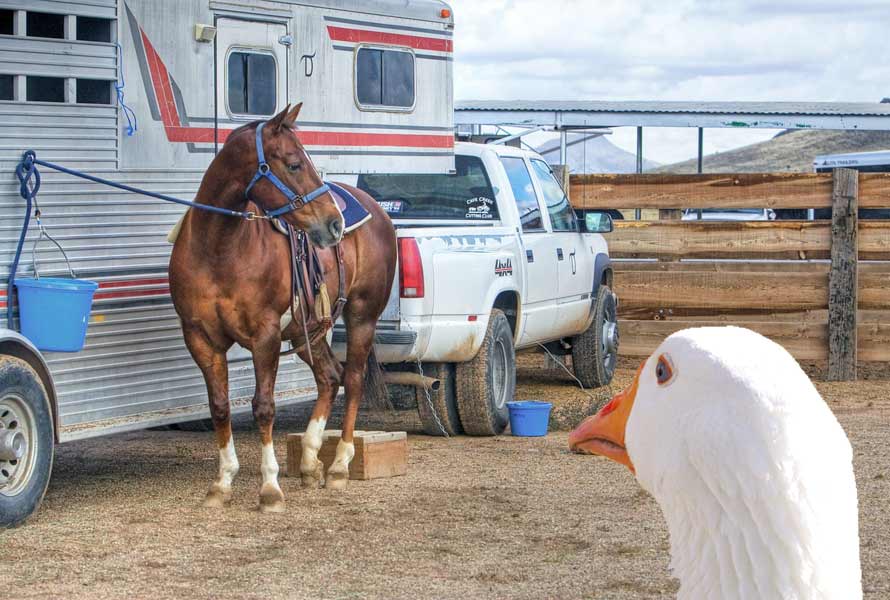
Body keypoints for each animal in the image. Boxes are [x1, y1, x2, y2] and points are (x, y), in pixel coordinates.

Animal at [169, 103, 396, 510]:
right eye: (293, 164)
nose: (334, 223)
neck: (219, 249)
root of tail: (377, 210)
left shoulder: (266, 335)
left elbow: (264, 406)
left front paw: (270, 488)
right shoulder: (200, 337)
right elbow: (220, 406)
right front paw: (222, 483)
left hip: (361, 317)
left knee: (352, 379)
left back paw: (339, 465)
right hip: (309, 332)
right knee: (330, 377)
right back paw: (308, 462)